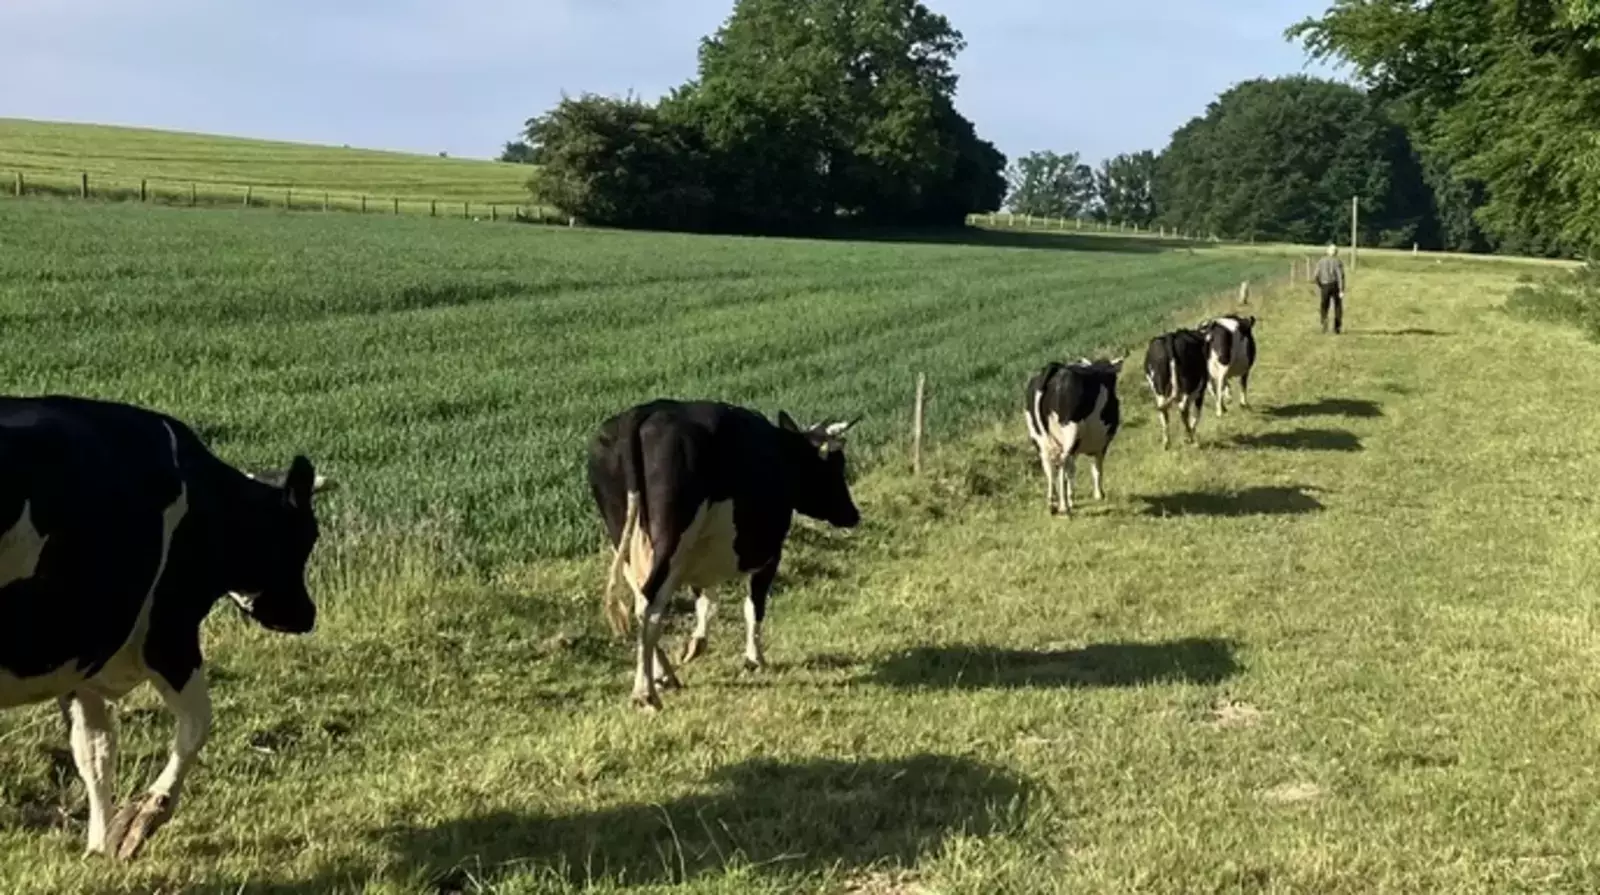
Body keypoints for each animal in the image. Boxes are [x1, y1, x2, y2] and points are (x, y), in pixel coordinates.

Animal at [0, 395, 335, 861]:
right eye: (307, 536)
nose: (306, 615)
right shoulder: (168, 635)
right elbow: (197, 725)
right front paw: (140, 820)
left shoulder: (84, 654)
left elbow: (95, 752)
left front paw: (100, 846)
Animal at [586, 400, 861, 713]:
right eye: (836, 466)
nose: (854, 514)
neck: (783, 453)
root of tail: (644, 412)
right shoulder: (769, 554)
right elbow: (753, 605)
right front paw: (754, 658)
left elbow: (706, 600)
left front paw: (694, 645)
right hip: (671, 539)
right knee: (651, 603)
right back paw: (645, 693)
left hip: (626, 539)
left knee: (641, 599)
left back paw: (662, 675)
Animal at [1023, 356, 1125, 516]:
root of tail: (1056, 368)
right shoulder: (1101, 445)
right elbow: (1096, 468)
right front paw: (1099, 494)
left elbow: (1072, 470)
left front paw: (1072, 497)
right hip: (1071, 432)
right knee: (1062, 463)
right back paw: (1064, 507)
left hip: (1039, 439)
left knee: (1049, 467)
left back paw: (1052, 504)